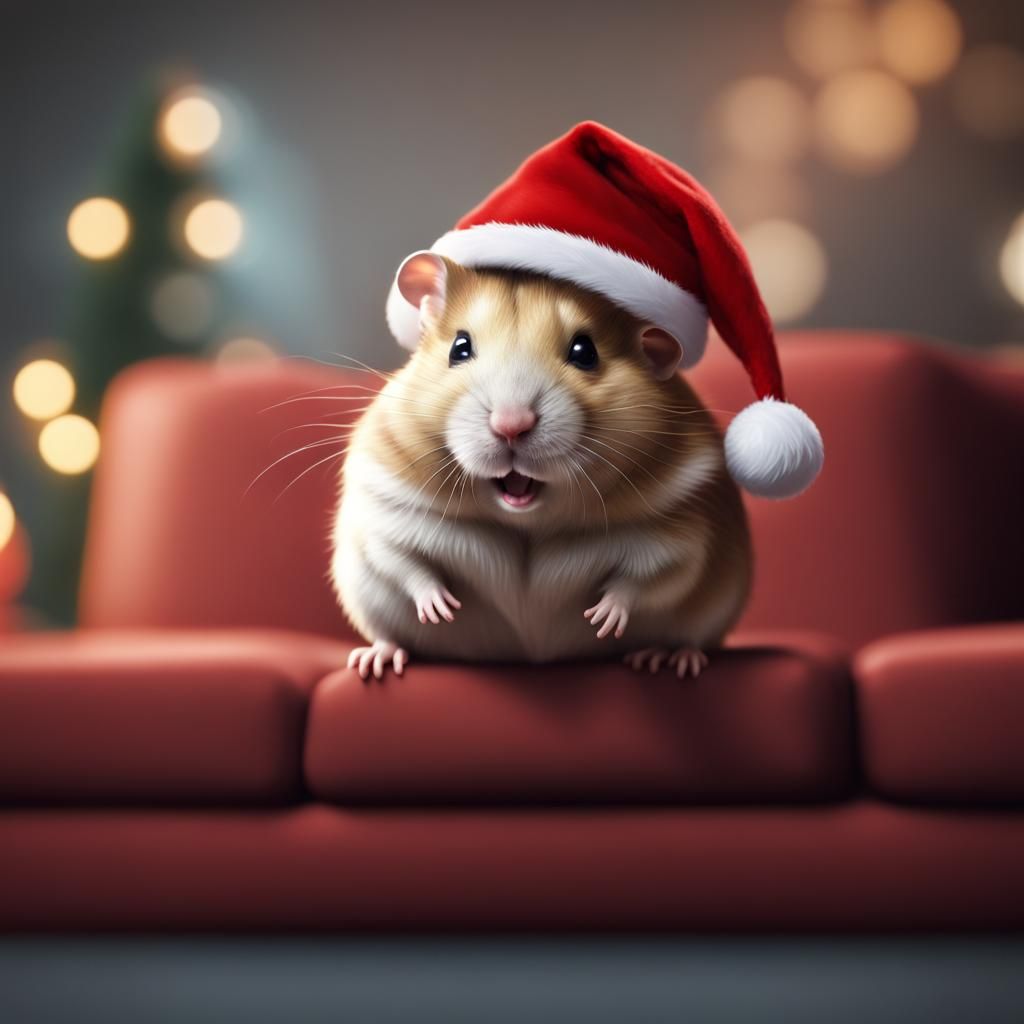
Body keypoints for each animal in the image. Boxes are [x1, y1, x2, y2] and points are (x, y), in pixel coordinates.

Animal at [331, 253, 751, 680]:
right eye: (459, 348)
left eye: (585, 352)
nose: (511, 425)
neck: (527, 523)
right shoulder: (388, 514)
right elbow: (403, 563)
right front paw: (441, 609)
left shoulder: (679, 531)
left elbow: (650, 576)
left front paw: (601, 618)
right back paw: (376, 660)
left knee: (690, 637)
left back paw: (668, 658)